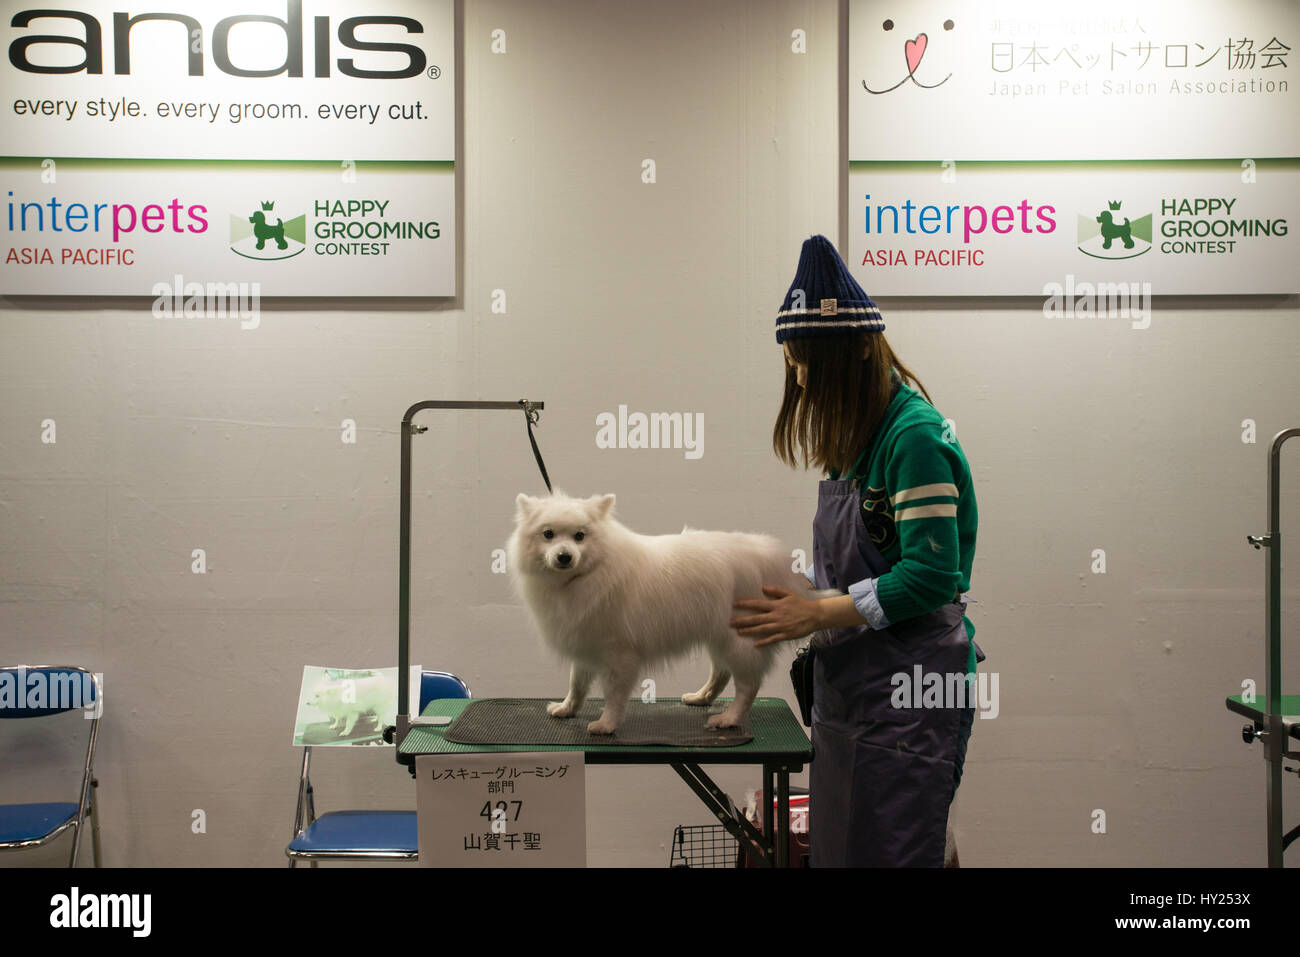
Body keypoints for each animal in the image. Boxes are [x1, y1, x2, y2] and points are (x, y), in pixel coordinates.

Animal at [506, 488, 832, 738]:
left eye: (579, 536)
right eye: (548, 534)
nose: (564, 556)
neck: (582, 578)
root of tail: (774, 561)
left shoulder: (619, 653)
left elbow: (613, 694)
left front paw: (606, 724)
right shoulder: (586, 641)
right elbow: (577, 684)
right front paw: (567, 708)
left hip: (739, 639)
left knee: (747, 686)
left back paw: (728, 718)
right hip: (719, 636)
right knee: (721, 673)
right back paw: (701, 698)